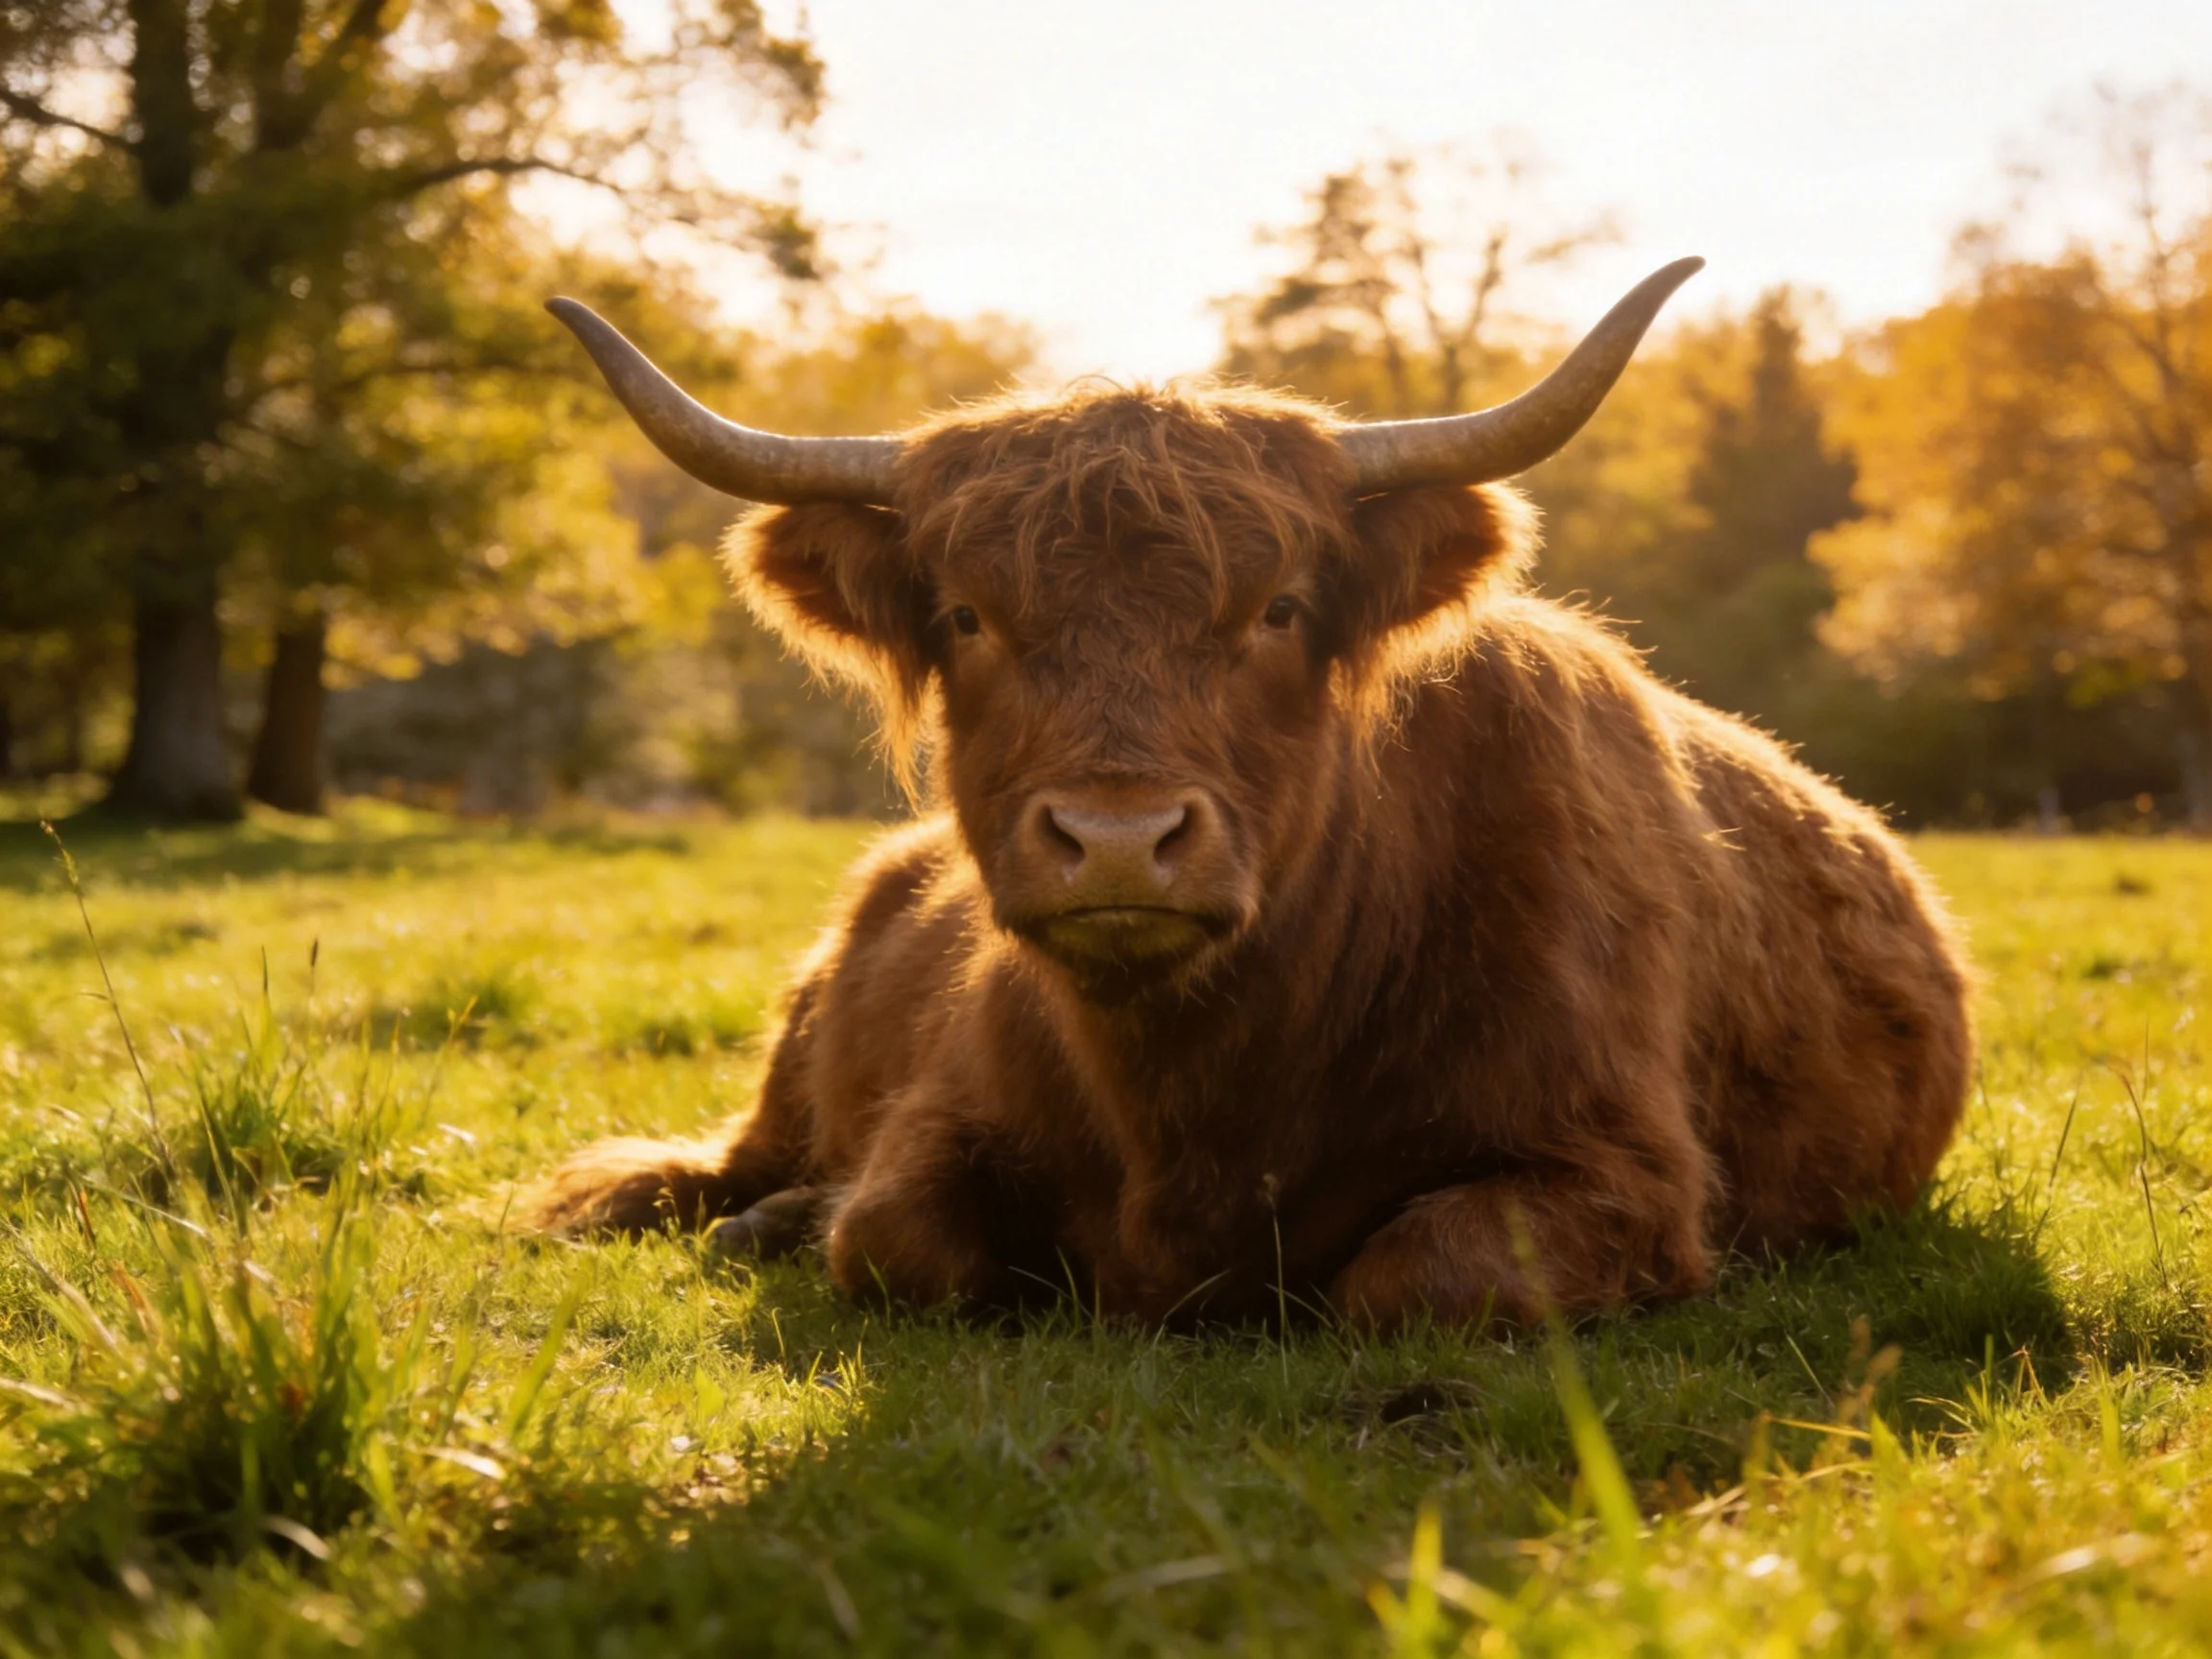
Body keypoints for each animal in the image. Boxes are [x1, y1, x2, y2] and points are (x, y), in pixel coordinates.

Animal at [527, 259, 1973, 1331]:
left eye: (1277, 608)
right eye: (966, 616)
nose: (1117, 840)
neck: (1202, 1095)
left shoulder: (1625, 1174)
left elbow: (1422, 1273)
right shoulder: (942, 1115)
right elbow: (891, 1239)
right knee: (720, 1165)